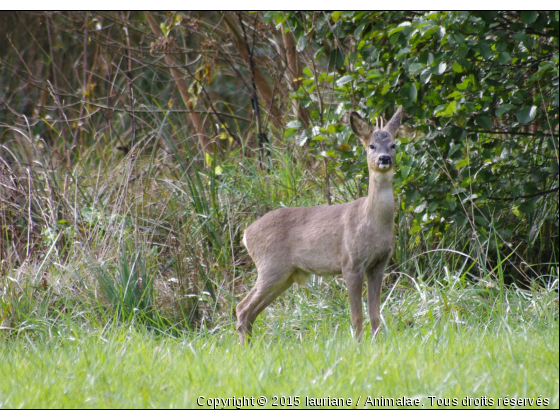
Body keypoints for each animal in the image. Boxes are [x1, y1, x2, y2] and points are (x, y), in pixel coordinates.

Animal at [236, 106, 402, 344]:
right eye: (371, 145)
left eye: (393, 144)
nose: (384, 158)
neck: (371, 221)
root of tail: (246, 234)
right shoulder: (350, 263)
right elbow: (357, 315)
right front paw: (358, 344)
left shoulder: (379, 265)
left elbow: (375, 314)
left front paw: (377, 343)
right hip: (271, 266)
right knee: (242, 308)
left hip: (285, 275)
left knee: (251, 312)